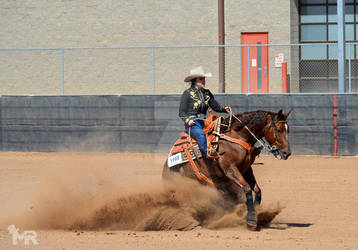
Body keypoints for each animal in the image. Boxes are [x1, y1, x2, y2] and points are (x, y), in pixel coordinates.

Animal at [162, 108, 290, 229]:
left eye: (288, 129)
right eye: (279, 129)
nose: (287, 153)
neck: (237, 137)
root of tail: (166, 168)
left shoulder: (247, 170)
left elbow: (258, 191)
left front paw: (255, 214)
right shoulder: (230, 169)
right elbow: (247, 188)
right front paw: (250, 219)